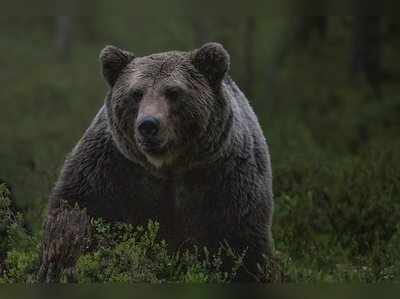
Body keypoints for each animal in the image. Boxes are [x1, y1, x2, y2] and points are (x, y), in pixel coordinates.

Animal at [39, 42, 274, 284]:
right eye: (136, 93)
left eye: (173, 92)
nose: (148, 125)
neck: (166, 166)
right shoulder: (110, 167)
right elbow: (81, 213)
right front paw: (63, 263)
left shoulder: (223, 177)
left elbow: (239, 242)